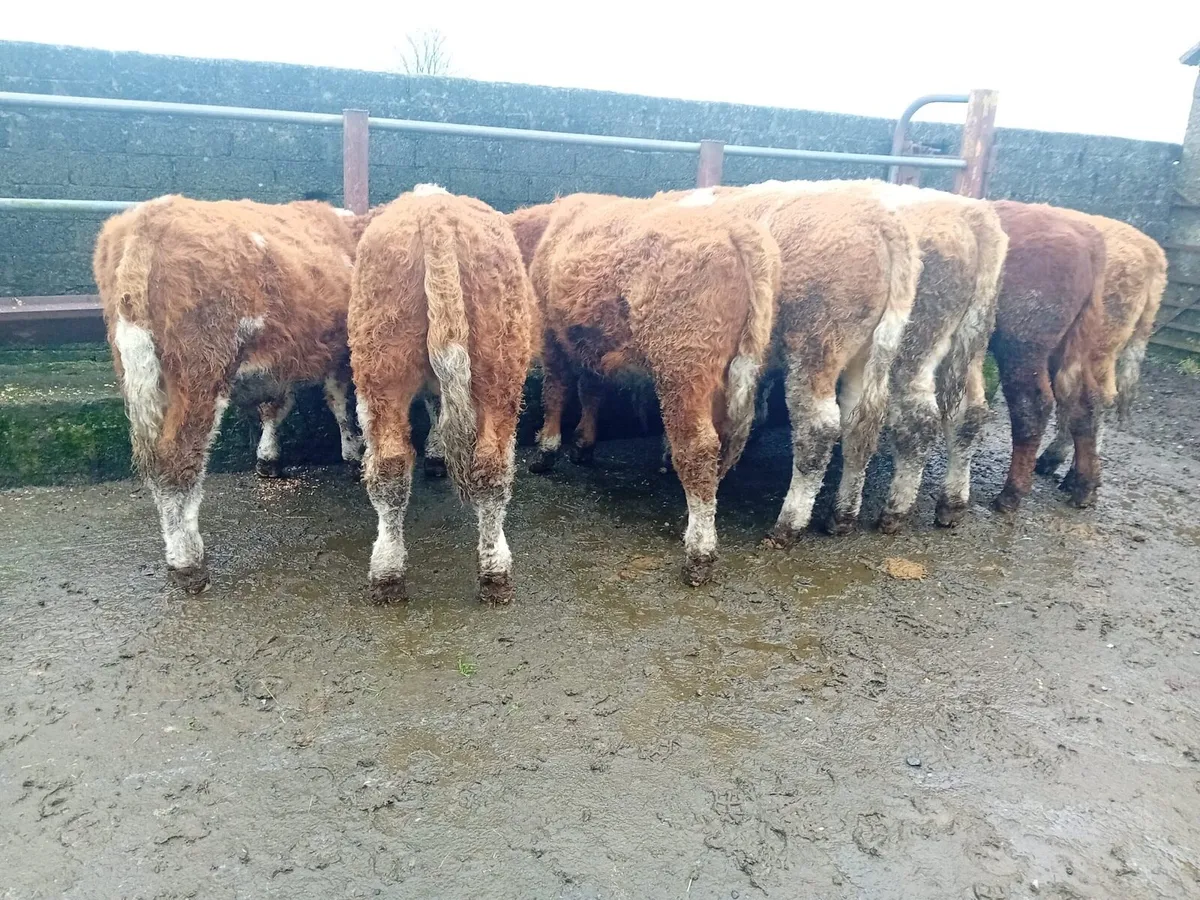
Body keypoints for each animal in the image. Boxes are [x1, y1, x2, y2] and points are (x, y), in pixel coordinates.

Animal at [93, 194, 364, 592]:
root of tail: (150, 217)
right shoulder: (341, 351)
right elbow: (341, 402)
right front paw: (352, 452)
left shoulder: (279, 363)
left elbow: (277, 407)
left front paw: (268, 458)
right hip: (200, 371)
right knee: (178, 459)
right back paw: (189, 563)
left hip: (138, 370)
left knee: (155, 460)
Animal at [348, 186, 537, 604]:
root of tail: (434, 209)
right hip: (493, 365)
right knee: (485, 468)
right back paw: (489, 574)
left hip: (382, 369)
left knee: (393, 466)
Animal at [517, 193, 781, 585]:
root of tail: (732, 226)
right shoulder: (591, 342)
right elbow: (591, 389)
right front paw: (583, 444)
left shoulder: (552, 335)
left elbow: (556, 391)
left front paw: (547, 450)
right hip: (724, 371)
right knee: (723, 443)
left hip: (683, 365)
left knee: (698, 447)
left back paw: (699, 551)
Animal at [989, 201, 1107, 511]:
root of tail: (1087, 237)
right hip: (1066, 349)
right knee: (1085, 402)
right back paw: (1084, 486)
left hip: (1022, 349)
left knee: (1032, 407)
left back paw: (1011, 494)